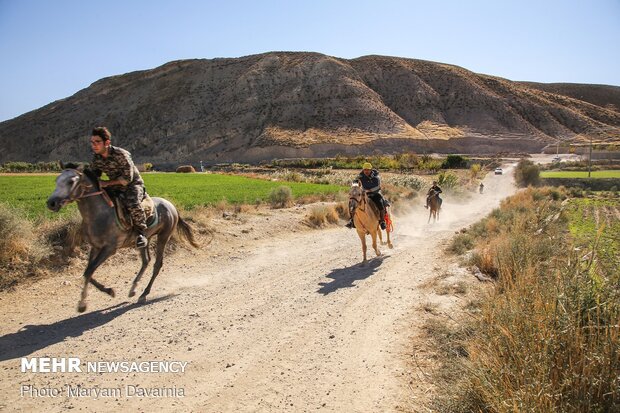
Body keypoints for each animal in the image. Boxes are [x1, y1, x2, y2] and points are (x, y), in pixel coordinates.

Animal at [47, 164, 200, 312]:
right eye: (56, 180)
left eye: (71, 181)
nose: (51, 203)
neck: (100, 214)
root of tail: (171, 205)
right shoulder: (95, 247)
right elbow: (88, 272)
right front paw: (100, 294)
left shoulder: (109, 249)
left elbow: (89, 271)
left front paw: (87, 301)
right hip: (146, 239)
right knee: (146, 261)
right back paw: (133, 289)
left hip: (163, 237)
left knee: (157, 265)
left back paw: (144, 293)